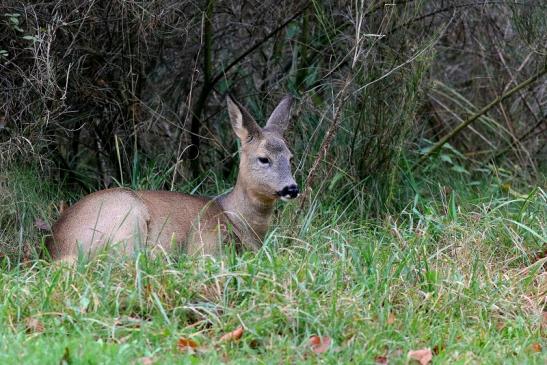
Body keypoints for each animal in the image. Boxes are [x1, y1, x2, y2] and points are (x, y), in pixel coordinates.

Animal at [48, 95, 300, 260]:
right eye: (263, 158)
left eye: (290, 157)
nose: (292, 188)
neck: (237, 218)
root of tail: (59, 248)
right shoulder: (205, 242)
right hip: (128, 216)